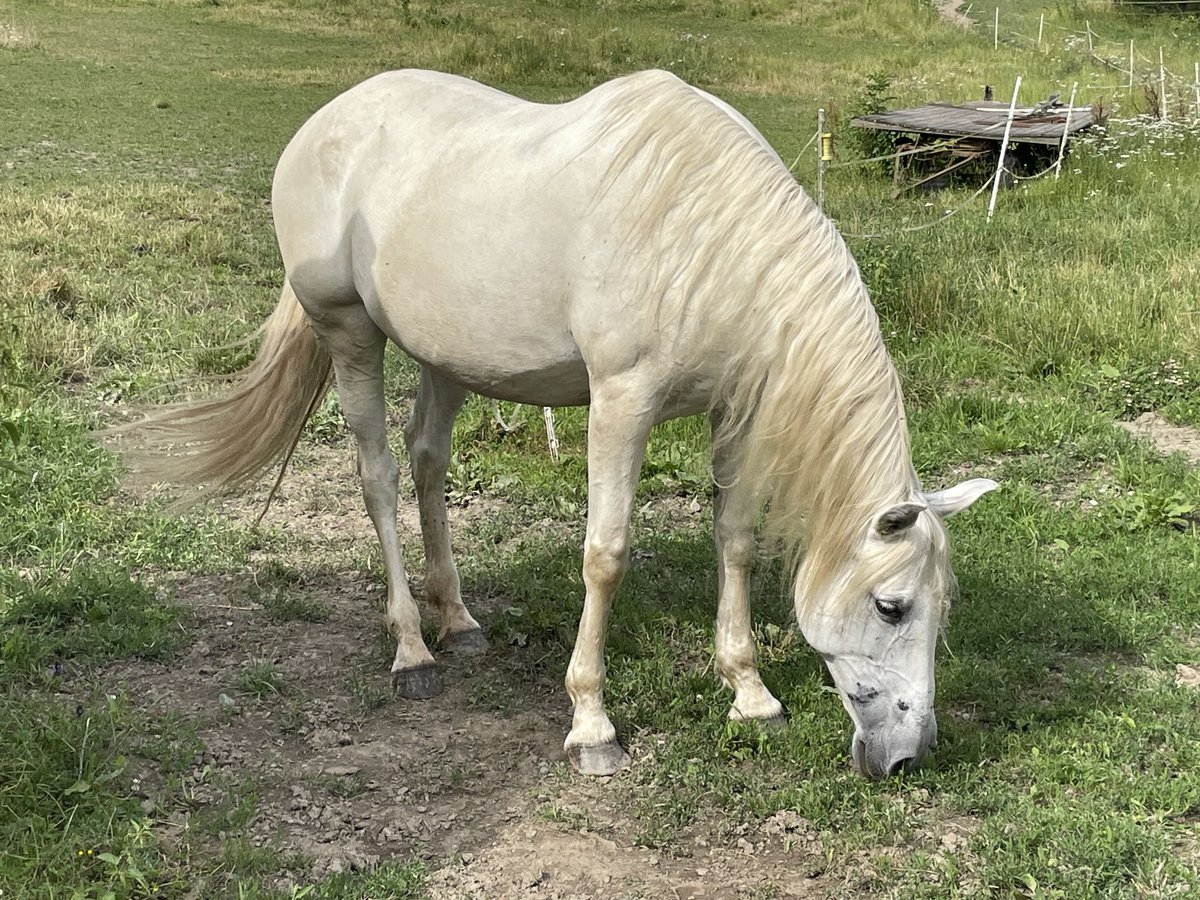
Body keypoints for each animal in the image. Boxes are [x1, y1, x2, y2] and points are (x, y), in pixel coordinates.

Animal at [117, 68, 998, 782]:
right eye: (892, 607)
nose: (908, 758)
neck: (703, 241)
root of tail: (324, 123)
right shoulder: (621, 404)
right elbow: (604, 556)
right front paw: (591, 725)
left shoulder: (729, 412)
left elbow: (737, 540)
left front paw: (748, 691)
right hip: (350, 337)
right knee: (379, 477)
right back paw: (411, 650)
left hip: (446, 358)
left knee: (429, 461)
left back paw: (458, 620)